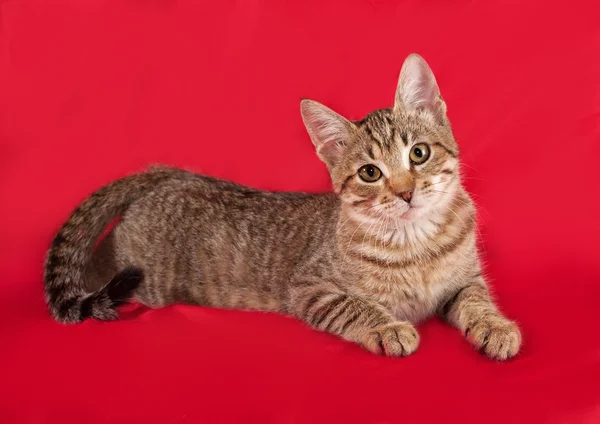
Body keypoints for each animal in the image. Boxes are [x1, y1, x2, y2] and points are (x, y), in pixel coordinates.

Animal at [43, 52, 520, 358]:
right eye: (370, 173)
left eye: (419, 153)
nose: (405, 192)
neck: (417, 244)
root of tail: (170, 173)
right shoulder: (310, 288)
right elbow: (353, 305)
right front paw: (386, 326)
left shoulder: (464, 278)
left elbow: (476, 297)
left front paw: (495, 326)